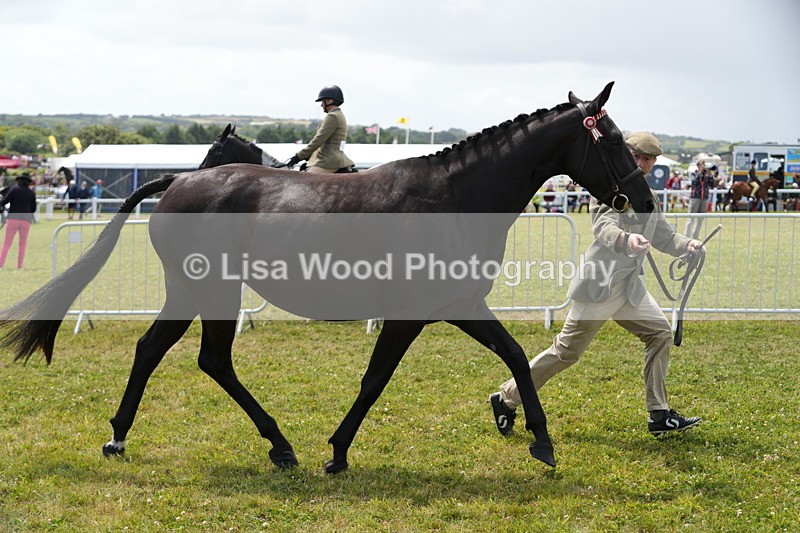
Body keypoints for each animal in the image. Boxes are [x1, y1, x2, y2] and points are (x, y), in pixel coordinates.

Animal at [0, 82, 655, 474]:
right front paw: (338, 452)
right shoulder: (415, 313)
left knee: (174, 352)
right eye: (613, 140)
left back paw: (147, 437)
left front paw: (535, 434)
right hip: (207, 289)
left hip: (201, 292)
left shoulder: (459, 303)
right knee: (193, 356)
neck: (451, 197)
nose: (646, 200)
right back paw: (261, 442)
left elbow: (516, 354)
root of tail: (179, 182)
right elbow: (376, 380)